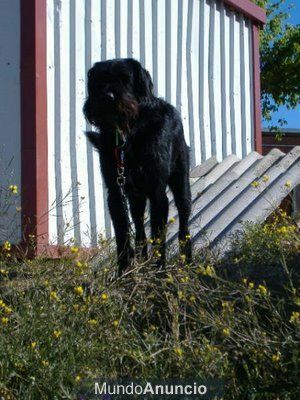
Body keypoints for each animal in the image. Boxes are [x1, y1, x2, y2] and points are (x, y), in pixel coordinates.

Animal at [84, 58, 192, 276]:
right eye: (100, 79)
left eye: (125, 78)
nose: (108, 97)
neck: (128, 135)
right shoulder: (116, 194)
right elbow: (123, 235)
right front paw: (124, 273)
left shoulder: (158, 193)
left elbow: (158, 237)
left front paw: (160, 273)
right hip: (136, 198)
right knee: (140, 231)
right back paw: (142, 262)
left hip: (181, 183)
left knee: (184, 223)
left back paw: (188, 261)